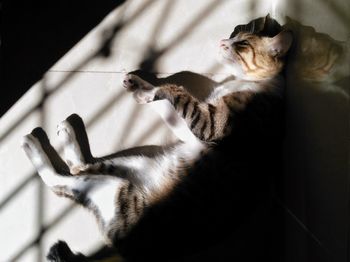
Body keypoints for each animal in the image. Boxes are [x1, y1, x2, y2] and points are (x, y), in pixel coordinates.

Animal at [20, 14, 292, 262]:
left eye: (242, 44)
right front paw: (140, 87)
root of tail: (126, 252)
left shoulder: (209, 124)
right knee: (78, 168)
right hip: (131, 165)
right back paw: (62, 134)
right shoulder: (191, 128)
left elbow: (174, 90)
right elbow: (169, 104)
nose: (223, 40)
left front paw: (149, 91)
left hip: (118, 192)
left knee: (63, 178)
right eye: (234, 34)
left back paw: (34, 144)